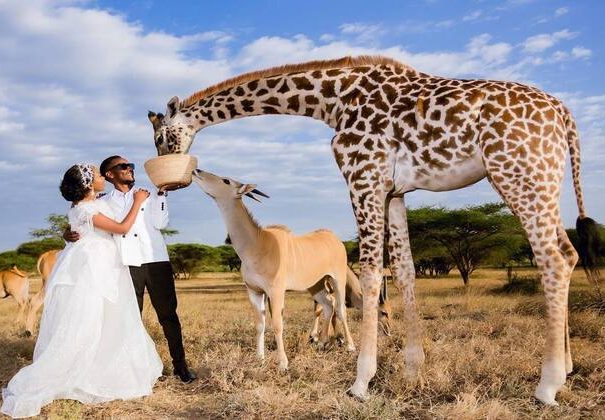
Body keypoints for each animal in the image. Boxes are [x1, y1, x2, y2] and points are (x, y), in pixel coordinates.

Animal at [149, 55, 600, 404]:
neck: (331, 102)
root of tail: (564, 113)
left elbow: (368, 274)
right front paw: (413, 370)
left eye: (162, 135)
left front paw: (361, 380)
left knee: (553, 259)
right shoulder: (395, 191)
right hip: (544, 179)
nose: (170, 178)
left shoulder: (363, 177)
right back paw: (568, 368)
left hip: (516, 173)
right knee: (569, 252)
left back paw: (547, 386)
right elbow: (404, 271)